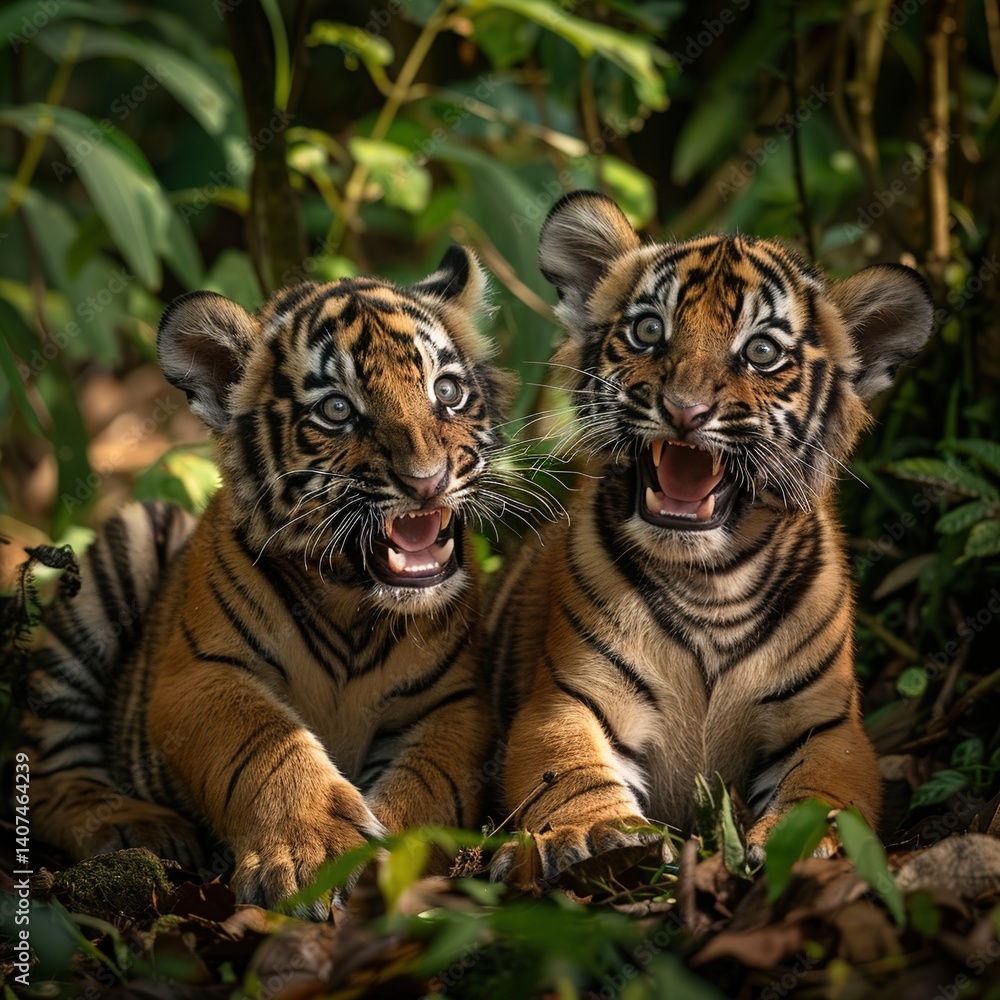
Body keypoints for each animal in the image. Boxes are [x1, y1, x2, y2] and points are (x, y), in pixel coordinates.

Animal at [19, 246, 517, 916]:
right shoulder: (201, 675)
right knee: (50, 770)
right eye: (337, 409)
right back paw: (135, 825)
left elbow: (428, 782)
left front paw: (387, 864)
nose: (427, 480)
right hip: (125, 546)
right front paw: (315, 857)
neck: (353, 603)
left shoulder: (456, 701)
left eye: (447, 390)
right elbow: (265, 744)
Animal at [488, 191, 932, 887]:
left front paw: (808, 844)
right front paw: (597, 834)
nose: (684, 410)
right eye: (649, 331)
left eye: (762, 352)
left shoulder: (829, 728)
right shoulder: (567, 700)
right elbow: (568, 771)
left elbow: (826, 793)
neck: (710, 581)